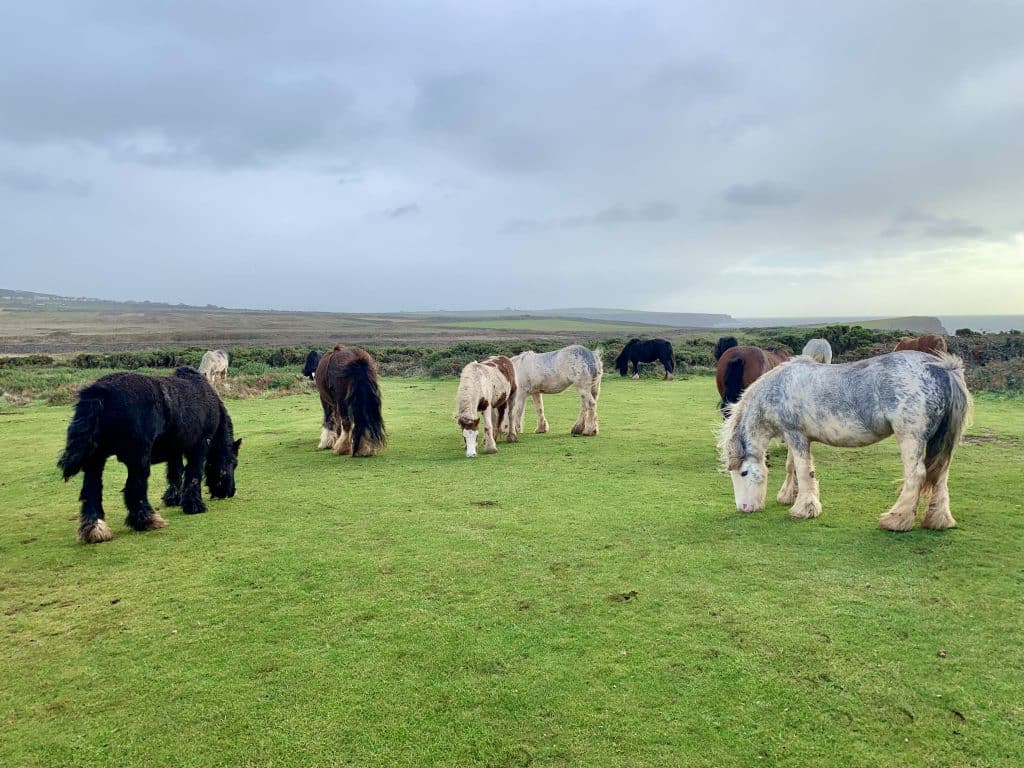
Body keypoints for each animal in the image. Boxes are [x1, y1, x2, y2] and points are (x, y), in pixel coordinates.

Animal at [58, 367, 242, 544]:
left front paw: (174, 498)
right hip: (138, 459)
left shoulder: (174, 450)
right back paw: (147, 519)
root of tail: (100, 391)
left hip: (95, 460)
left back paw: (95, 528)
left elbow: (175, 473)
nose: (230, 492)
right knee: (134, 488)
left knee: (92, 491)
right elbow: (193, 475)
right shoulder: (200, 446)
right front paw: (194, 505)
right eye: (233, 463)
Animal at [719, 352, 972, 531]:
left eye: (743, 473)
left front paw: (803, 509)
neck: (778, 389)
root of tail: (943, 369)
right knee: (940, 475)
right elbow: (792, 466)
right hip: (940, 443)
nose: (744, 508)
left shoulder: (796, 435)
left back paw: (896, 520)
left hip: (911, 437)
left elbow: (803, 470)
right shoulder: (796, 436)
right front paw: (788, 496)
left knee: (916, 475)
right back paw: (938, 520)